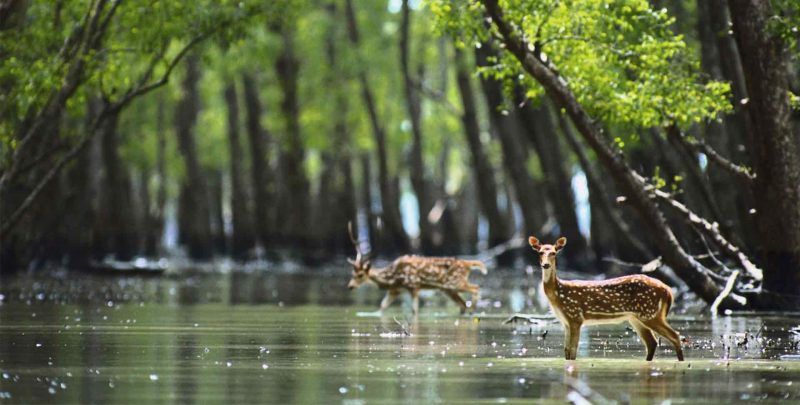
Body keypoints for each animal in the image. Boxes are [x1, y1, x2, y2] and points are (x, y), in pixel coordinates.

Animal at [346, 223, 488, 314]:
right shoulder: (395, 290)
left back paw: (473, 309)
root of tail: (467, 264)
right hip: (448, 289)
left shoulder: (414, 286)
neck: (393, 278)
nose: (350, 286)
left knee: (476, 288)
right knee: (462, 304)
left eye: (360, 274)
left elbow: (415, 311)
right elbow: (381, 308)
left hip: (455, 283)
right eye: (352, 273)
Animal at [528, 234, 684, 360]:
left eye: (553, 253)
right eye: (540, 252)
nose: (545, 265)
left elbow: (573, 351)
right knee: (652, 343)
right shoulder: (566, 321)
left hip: (650, 313)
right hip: (637, 317)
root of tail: (668, 290)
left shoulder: (575, 316)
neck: (558, 294)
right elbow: (566, 351)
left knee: (675, 336)